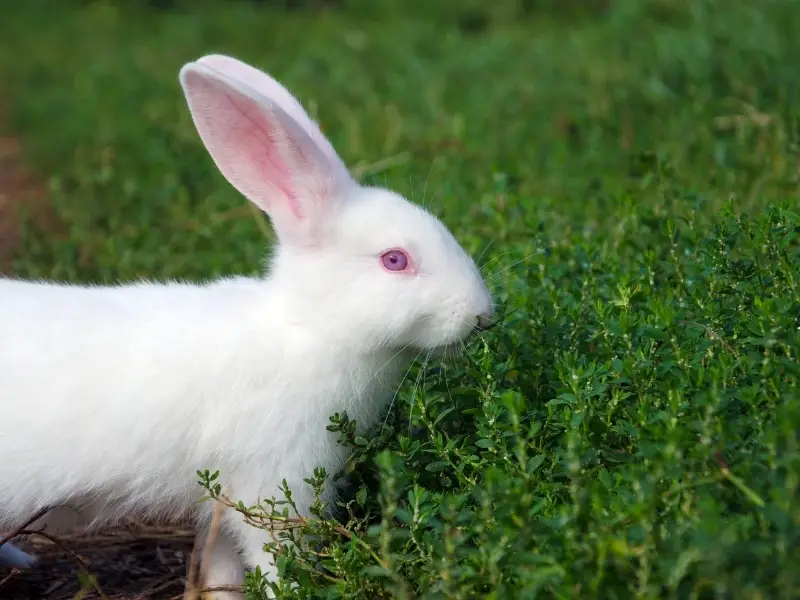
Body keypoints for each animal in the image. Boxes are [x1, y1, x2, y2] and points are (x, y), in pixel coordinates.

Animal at [0, 54, 494, 596]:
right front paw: (292, 591)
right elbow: (274, 557)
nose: (483, 314)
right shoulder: (273, 486)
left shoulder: (221, 498)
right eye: (395, 260)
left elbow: (221, 560)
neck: (308, 329)